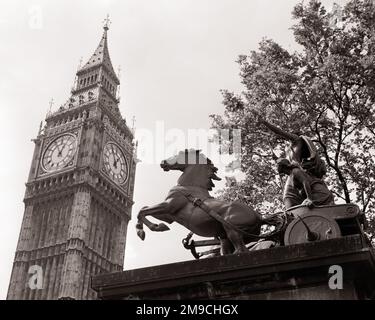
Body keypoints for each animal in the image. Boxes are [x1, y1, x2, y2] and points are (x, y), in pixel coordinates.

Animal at [137, 149, 284, 254]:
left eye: (179, 153)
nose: (163, 162)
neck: (189, 187)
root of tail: (260, 217)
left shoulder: (168, 206)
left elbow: (142, 211)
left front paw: (145, 230)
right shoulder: (169, 216)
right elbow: (144, 208)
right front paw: (159, 226)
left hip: (232, 231)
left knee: (241, 251)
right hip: (225, 237)